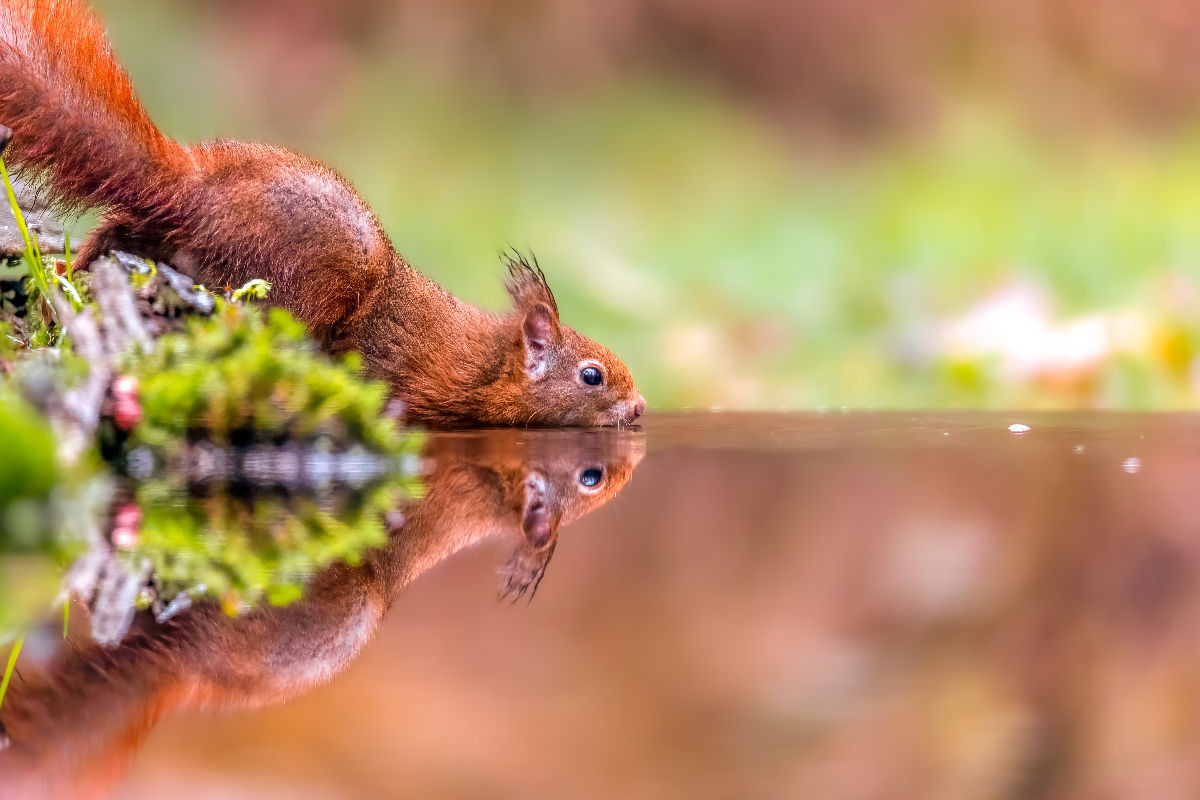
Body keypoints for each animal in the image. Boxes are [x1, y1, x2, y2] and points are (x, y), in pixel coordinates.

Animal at [0, 0, 648, 429]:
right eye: (591, 375)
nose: (641, 406)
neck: (491, 359)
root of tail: (198, 190)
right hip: (296, 281)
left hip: (174, 242)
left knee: (118, 232)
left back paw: (69, 276)